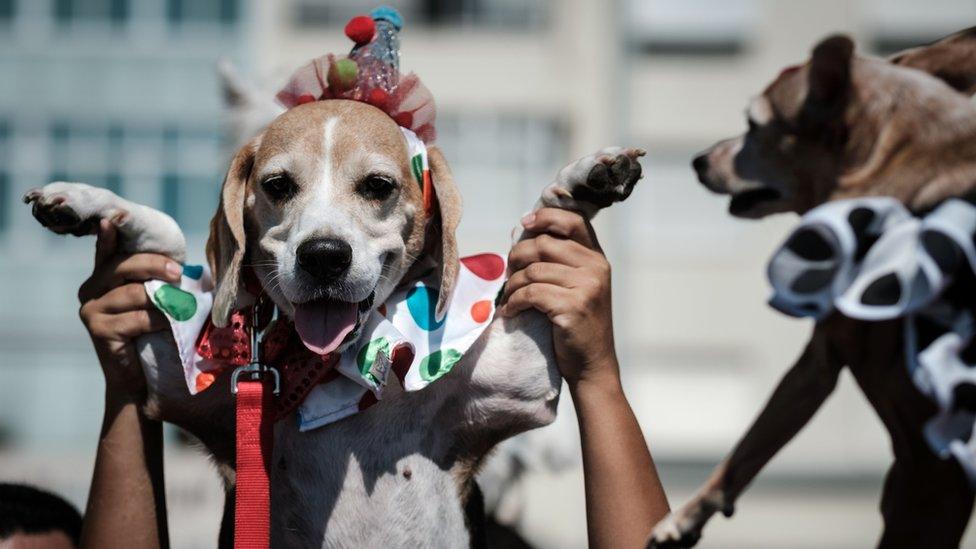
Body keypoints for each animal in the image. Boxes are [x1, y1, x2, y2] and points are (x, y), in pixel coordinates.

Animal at [22, 100, 644, 544]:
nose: (323, 255)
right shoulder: (173, 382)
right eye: (276, 186)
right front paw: (87, 202)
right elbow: (171, 239)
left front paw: (585, 180)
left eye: (378, 186)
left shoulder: (522, 375)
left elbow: (534, 227)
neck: (334, 363)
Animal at [648, 30, 976, 548]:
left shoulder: (931, 467)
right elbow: (748, 448)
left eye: (752, 123)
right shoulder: (817, 364)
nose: (697, 160)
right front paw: (687, 516)